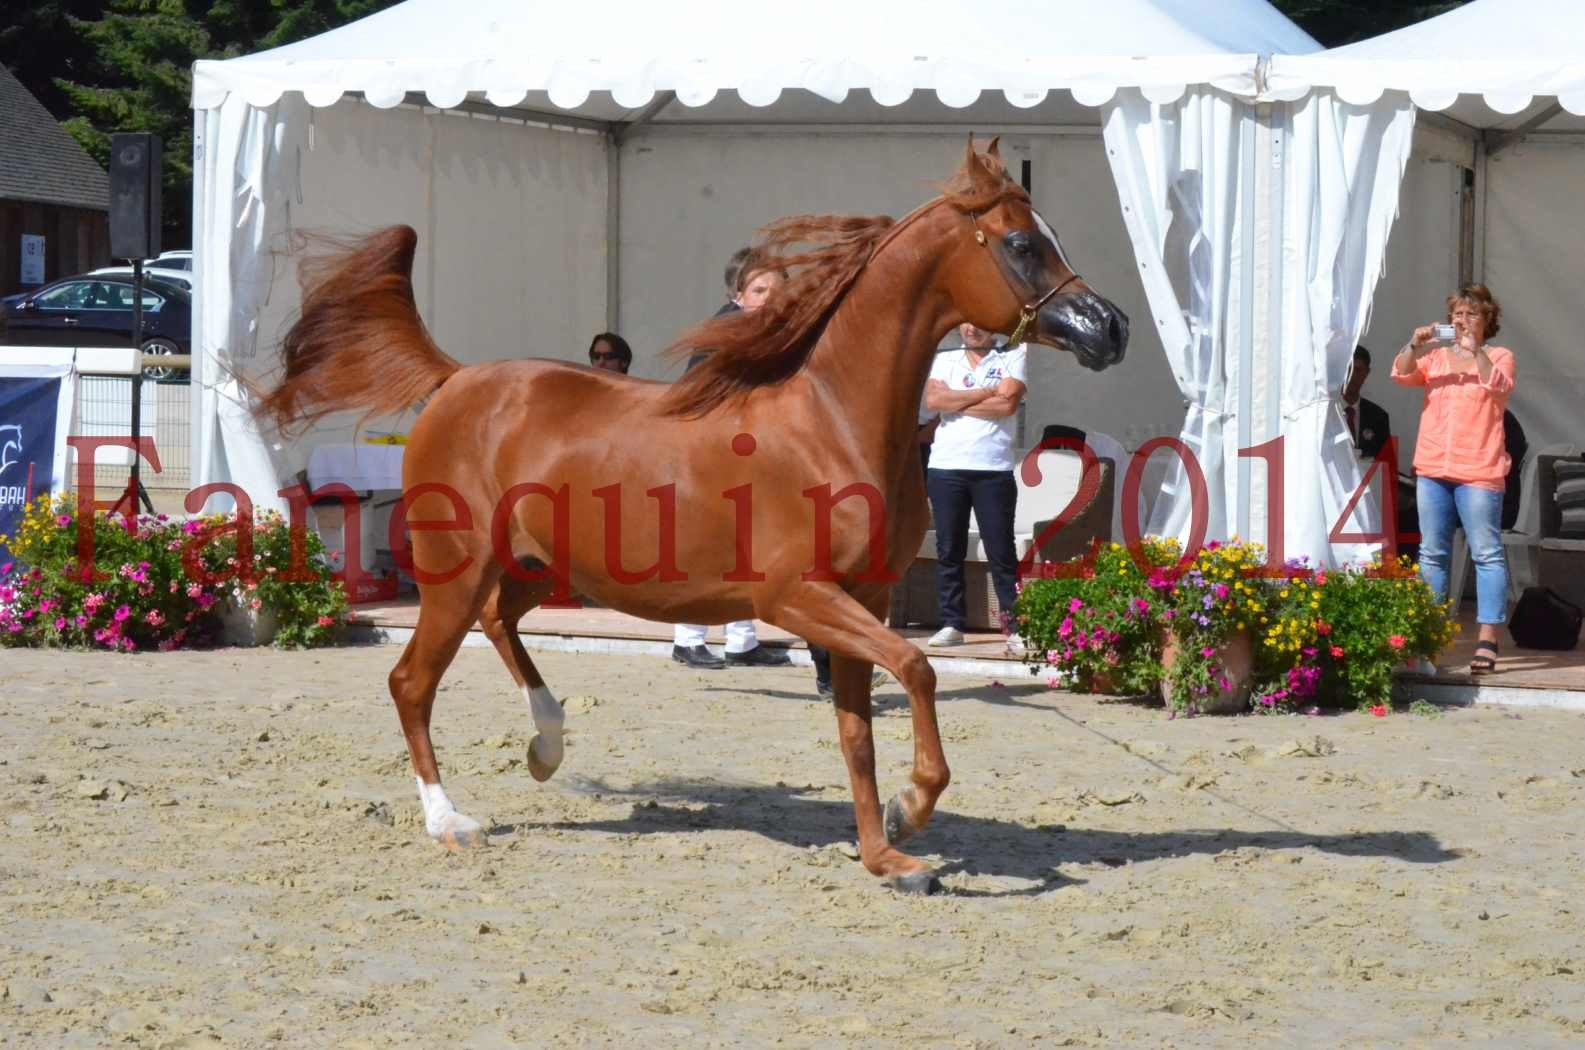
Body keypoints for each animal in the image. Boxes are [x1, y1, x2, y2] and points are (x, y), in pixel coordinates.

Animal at [259, 139, 1128, 894]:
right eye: (1020, 243)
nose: (1109, 328)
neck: (831, 421)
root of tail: (456, 380)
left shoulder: (865, 598)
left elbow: (856, 731)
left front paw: (887, 857)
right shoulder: (796, 597)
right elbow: (916, 669)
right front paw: (911, 812)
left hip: (540, 568)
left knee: (501, 624)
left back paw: (547, 744)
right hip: (457, 570)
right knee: (412, 681)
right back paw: (450, 821)